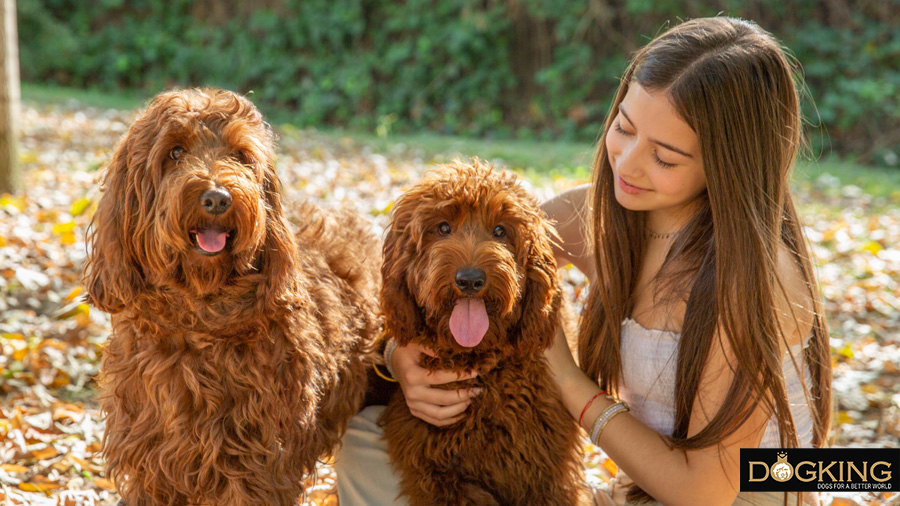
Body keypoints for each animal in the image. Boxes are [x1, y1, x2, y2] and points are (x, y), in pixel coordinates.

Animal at [81, 89, 380, 504]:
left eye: (240, 155)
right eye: (175, 151)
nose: (218, 199)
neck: (201, 317)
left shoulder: (257, 466)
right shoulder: (152, 461)